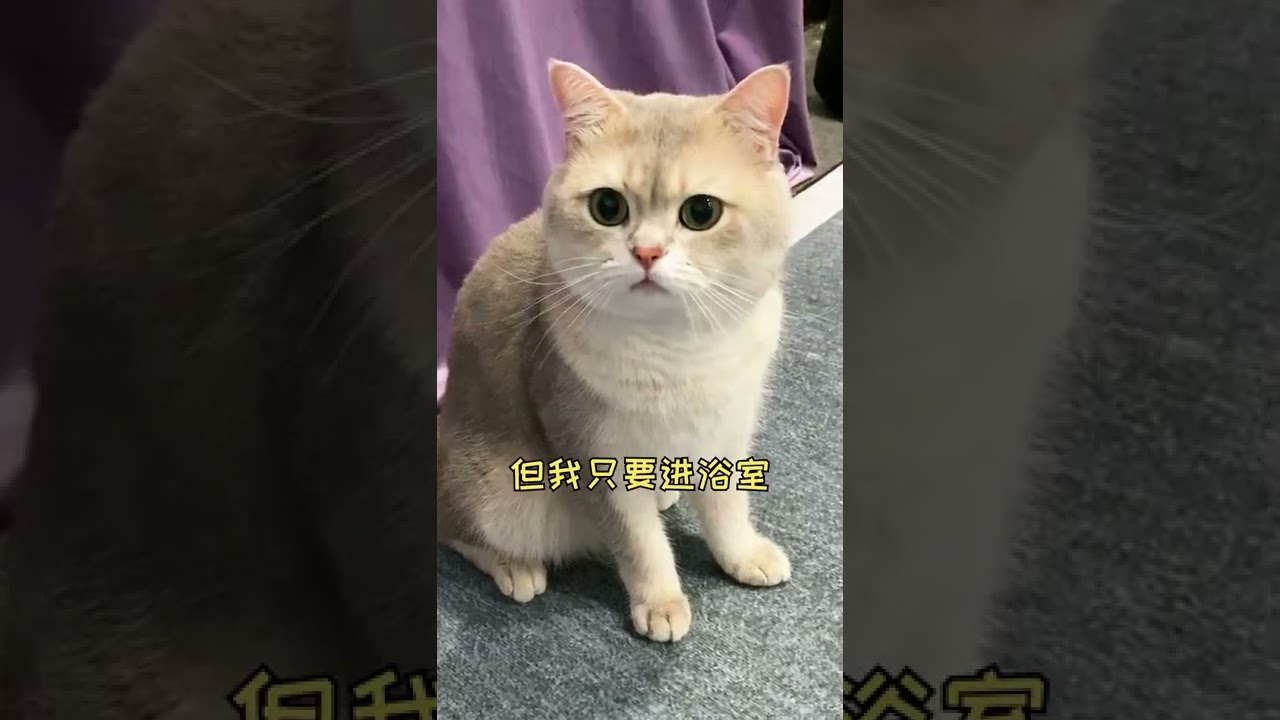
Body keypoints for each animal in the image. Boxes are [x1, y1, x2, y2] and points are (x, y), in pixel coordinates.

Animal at [437, 60, 796, 643]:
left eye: (702, 212)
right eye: (608, 207)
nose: (646, 252)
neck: (678, 348)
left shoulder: (725, 428)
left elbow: (726, 507)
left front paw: (741, 555)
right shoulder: (592, 448)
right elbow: (639, 542)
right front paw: (661, 601)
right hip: (499, 497)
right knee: (456, 528)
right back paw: (515, 567)